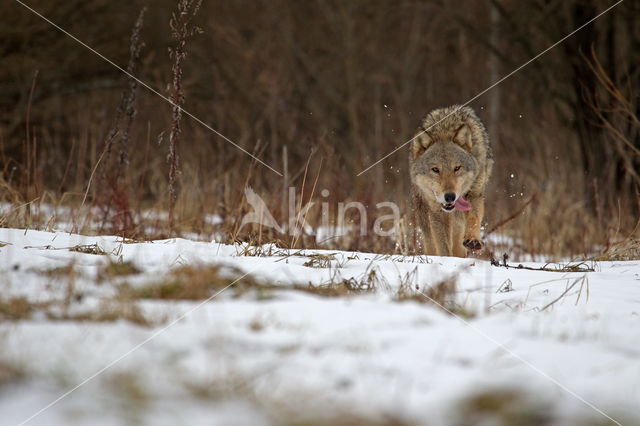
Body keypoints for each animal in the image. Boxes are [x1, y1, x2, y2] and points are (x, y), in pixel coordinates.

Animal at [410, 105, 496, 258]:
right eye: (435, 169)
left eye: (457, 168)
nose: (450, 196)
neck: (444, 130)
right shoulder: (436, 211)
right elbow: (442, 245)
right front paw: (446, 260)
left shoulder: (475, 195)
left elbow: (474, 219)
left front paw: (473, 239)